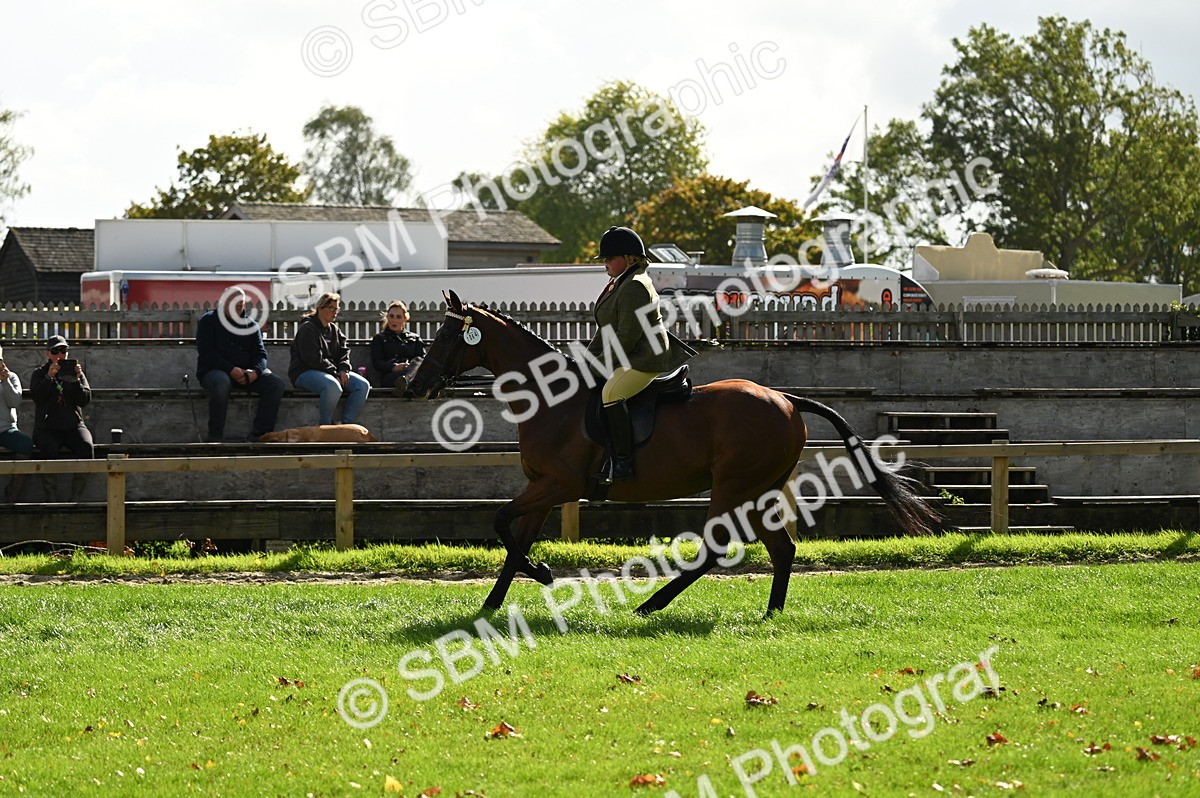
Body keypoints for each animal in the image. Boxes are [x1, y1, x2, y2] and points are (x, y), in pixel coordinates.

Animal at [407, 290, 940, 616]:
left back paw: (652, 606)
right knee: (782, 549)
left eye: (449, 335)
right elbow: (513, 540)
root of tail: (787, 399)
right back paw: (771, 613)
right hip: (760, 489)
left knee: (716, 548)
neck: (549, 399)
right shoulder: (541, 487)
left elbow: (501, 523)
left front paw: (542, 573)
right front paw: (492, 605)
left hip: (733, 486)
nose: (415, 385)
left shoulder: (559, 484)